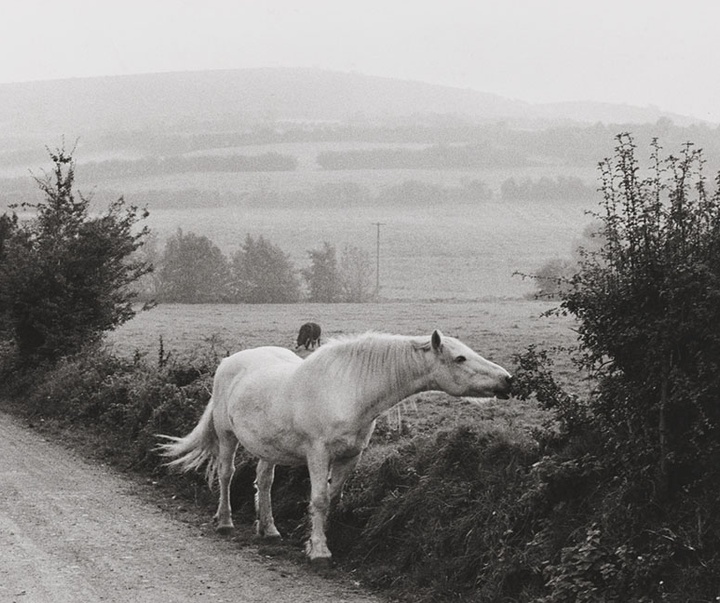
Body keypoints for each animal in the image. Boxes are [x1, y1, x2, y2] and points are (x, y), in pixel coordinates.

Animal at [160, 330, 516, 568]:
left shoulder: (350, 456)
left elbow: (332, 498)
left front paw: (310, 538)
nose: (508, 380)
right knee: (225, 474)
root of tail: (229, 362)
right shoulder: (318, 454)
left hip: (267, 447)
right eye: (459, 358)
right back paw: (225, 522)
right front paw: (319, 552)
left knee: (264, 481)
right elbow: (318, 499)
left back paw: (269, 528)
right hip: (226, 437)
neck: (348, 390)